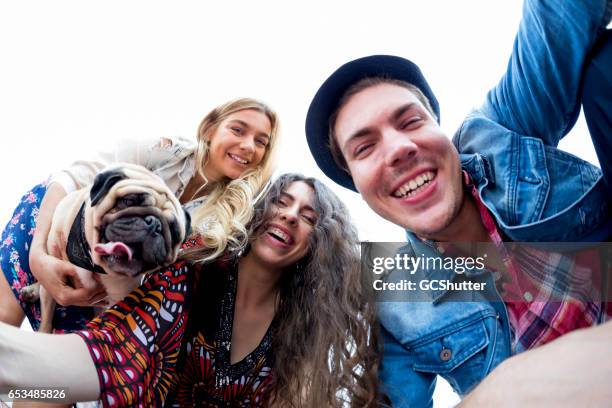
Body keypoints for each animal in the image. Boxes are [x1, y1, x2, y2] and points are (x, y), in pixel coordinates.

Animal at [21, 163, 190, 332]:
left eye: (174, 232)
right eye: (128, 201)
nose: (154, 223)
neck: (90, 261)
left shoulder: (118, 299)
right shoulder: (51, 277)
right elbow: (46, 320)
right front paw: (43, 332)